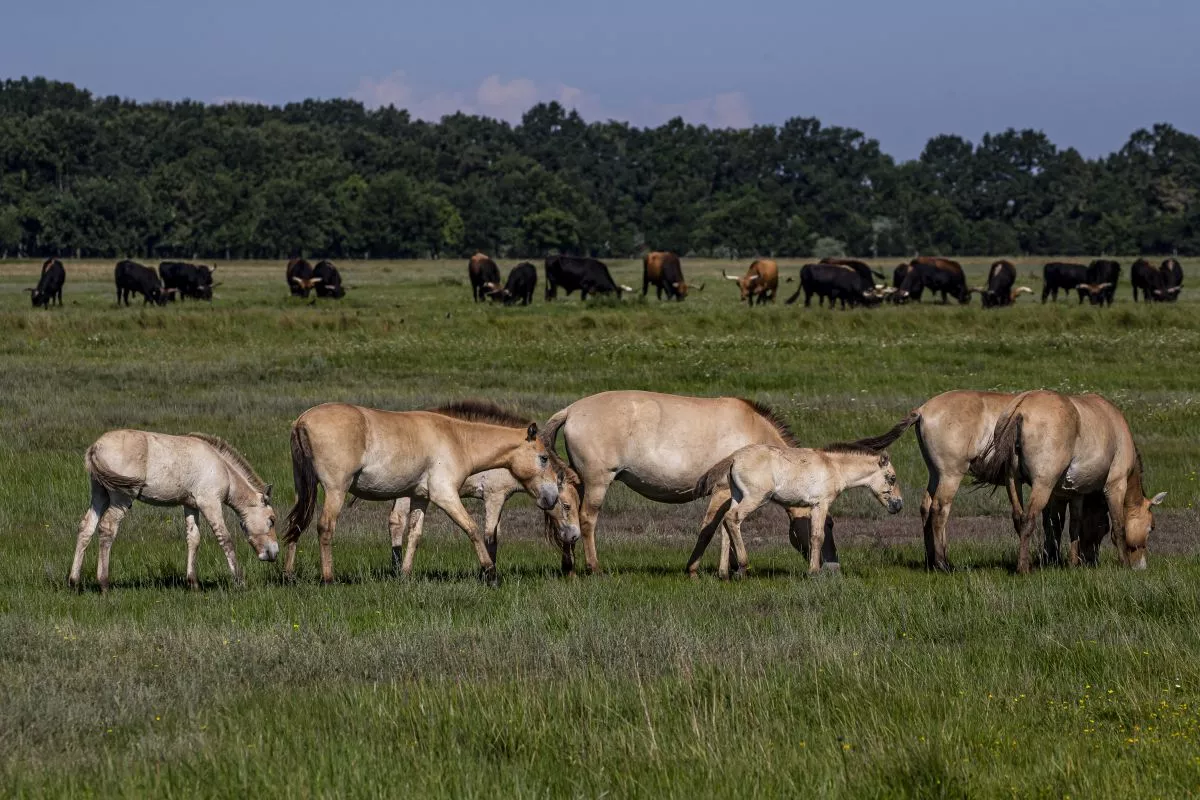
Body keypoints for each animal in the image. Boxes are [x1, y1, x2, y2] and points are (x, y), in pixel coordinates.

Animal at [69, 429, 276, 592]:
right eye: (272, 520)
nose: (274, 553)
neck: (222, 467)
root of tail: (96, 447)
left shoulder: (191, 505)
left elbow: (193, 539)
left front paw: (193, 583)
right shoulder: (210, 503)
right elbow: (225, 539)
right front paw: (240, 581)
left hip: (100, 495)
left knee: (86, 528)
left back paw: (74, 581)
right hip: (120, 498)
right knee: (107, 528)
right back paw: (104, 583)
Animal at [283, 398, 564, 582]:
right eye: (543, 458)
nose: (551, 497)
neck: (458, 439)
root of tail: (302, 421)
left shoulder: (420, 498)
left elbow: (414, 535)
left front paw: (405, 574)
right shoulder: (445, 495)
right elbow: (473, 529)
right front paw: (490, 572)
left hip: (303, 488)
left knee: (297, 524)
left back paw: (288, 574)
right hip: (335, 490)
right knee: (325, 527)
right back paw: (327, 578)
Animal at [540, 388, 840, 573]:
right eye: (829, 525)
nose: (832, 567)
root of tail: (571, 410)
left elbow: (725, 528)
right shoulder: (723, 492)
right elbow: (712, 528)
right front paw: (698, 569)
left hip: (578, 483)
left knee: (566, 514)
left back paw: (569, 566)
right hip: (597, 483)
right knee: (587, 520)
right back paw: (594, 568)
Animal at [691, 443, 902, 575]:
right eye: (892, 478)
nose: (899, 505)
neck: (834, 466)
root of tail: (734, 457)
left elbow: (813, 536)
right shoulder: (820, 504)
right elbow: (817, 537)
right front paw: (814, 572)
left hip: (737, 496)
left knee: (725, 525)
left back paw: (723, 573)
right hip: (755, 498)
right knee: (732, 518)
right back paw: (742, 567)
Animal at [974, 388, 1161, 573]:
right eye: (1151, 527)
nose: (1141, 566)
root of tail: (1021, 408)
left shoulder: (1073, 493)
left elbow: (1068, 526)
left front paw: (1069, 562)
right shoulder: (1116, 485)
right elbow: (1119, 526)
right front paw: (1124, 564)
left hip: (1013, 481)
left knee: (1018, 519)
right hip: (1043, 485)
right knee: (1027, 520)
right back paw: (1024, 568)